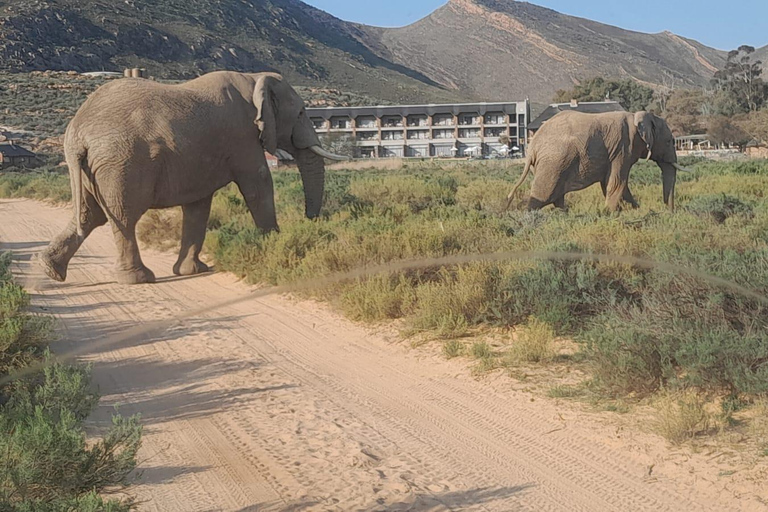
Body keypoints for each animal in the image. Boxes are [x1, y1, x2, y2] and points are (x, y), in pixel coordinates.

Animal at [39, 69, 344, 284]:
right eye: (302, 113)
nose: (310, 221)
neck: (254, 78)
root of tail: (77, 131)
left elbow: (199, 205)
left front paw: (192, 271)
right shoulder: (241, 136)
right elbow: (258, 184)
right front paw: (272, 247)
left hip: (94, 168)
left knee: (91, 215)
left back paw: (50, 270)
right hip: (121, 163)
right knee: (123, 216)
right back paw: (139, 279)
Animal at [504, 110, 688, 212]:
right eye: (669, 141)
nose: (670, 212)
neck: (638, 116)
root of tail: (532, 147)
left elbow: (612, 184)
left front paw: (634, 210)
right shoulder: (622, 149)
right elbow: (617, 183)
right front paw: (610, 213)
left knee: (556, 196)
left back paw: (564, 213)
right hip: (553, 162)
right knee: (543, 195)